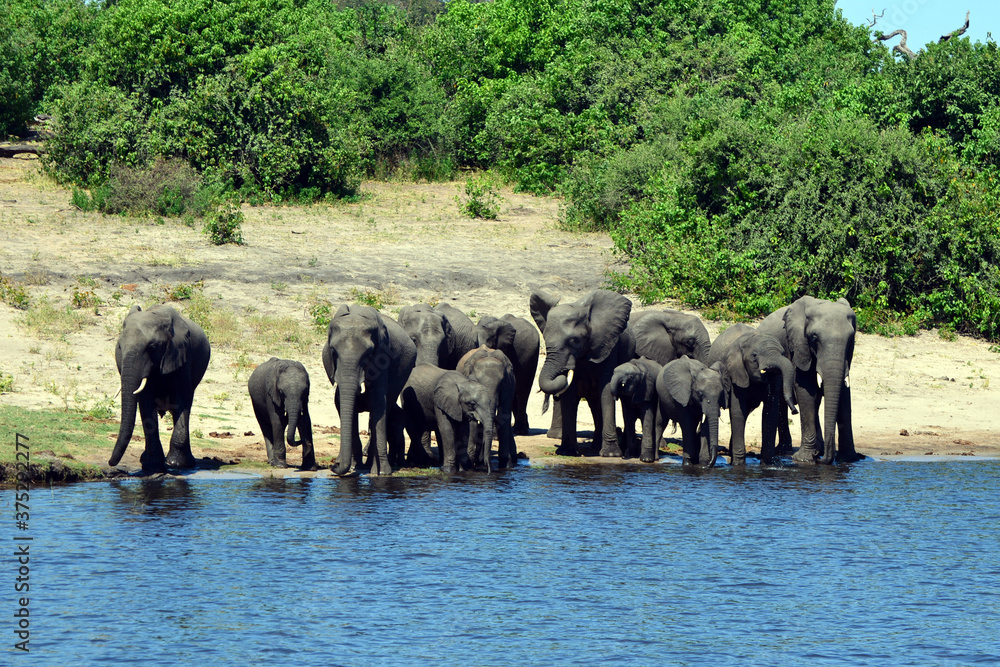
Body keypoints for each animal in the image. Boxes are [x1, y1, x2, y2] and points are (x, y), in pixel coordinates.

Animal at [108, 304, 211, 473]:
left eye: (152, 347)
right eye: (119, 347)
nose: (111, 462)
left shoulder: (182, 354)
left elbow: (182, 401)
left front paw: (175, 464)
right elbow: (146, 402)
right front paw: (152, 465)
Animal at [322, 305, 417, 476]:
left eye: (368, 354)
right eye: (333, 351)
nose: (334, 466)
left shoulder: (383, 354)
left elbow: (377, 401)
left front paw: (382, 473)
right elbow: (341, 401)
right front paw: (356, 467)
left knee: (385, 405)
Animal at [530, 289, 634, 457]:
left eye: (574, 341)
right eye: (545, 339)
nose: (562, 371)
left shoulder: (609, 346)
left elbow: (606, 391)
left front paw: (611, 454)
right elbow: (570, 395)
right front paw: (567, 452)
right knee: (594, 404)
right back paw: (595, 445)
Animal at [706, 325, 798, 465]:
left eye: (783, 354)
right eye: (754, 356)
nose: (795, 411)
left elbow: (770, 412)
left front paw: (768, 464)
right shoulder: (735, 372)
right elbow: (738, 411)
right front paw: (738, 465)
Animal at [757, 295, 862, 464]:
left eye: (851, 339)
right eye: (814, 337)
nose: (821, 460)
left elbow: (845, 396)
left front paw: (848, 459)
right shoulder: (798, 347)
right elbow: (806, 391)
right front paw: (805, 459)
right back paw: (787, 450)